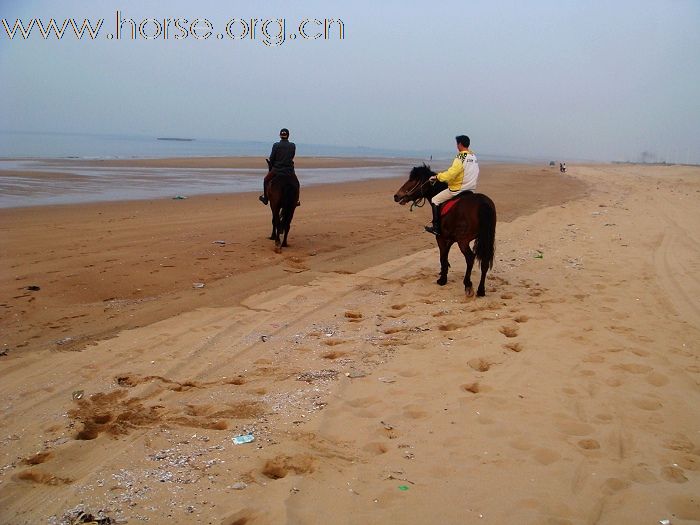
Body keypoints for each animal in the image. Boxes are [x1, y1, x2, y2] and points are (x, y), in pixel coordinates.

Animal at [394, 165, 498, 294]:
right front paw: (443, 274)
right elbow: (445, 256)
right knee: (484, 261)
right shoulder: (450, 238)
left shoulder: (440, 237)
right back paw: (481, 290)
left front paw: (442, 280)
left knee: (470, 258)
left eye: (413, 180)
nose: (396, 196)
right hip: (486, 239)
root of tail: (483, 203)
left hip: (463, 241)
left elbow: (442, 257)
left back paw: (467, 284)